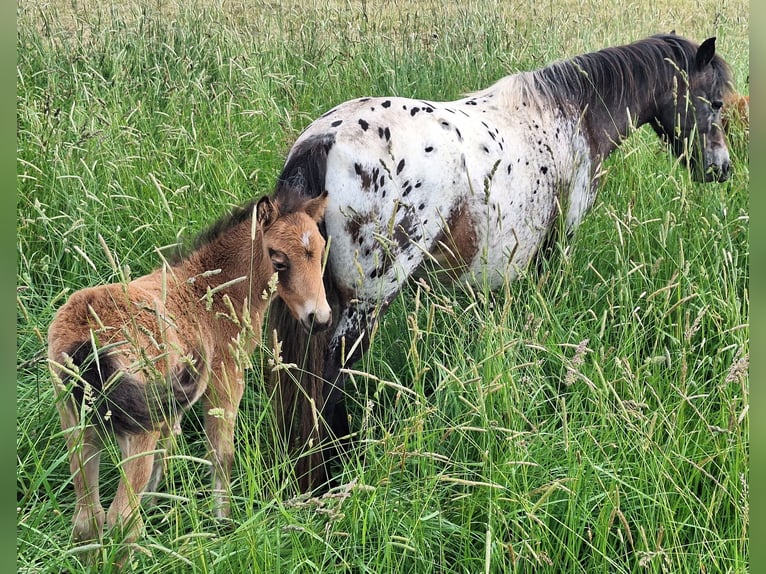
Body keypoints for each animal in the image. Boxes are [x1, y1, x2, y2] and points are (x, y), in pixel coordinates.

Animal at [47, 192, 330, 546]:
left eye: (321, 250)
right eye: (278, 259)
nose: (319, 319)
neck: (211, 291)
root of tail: (88, 340)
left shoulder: (172, 403)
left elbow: (166, 452)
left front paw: (155, 504)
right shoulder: (226, 380)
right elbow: (221, 454)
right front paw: (223, 520)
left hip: (77, 423)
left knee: (87, 518)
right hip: (135, 430)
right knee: (121, 519)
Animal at [266, 33, 734, 490]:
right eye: (715, 103)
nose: (721, 169)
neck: (572, 116)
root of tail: (325, 141)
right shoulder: (553, 253)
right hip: (367, 302)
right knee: (329, 380)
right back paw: (338, 469)